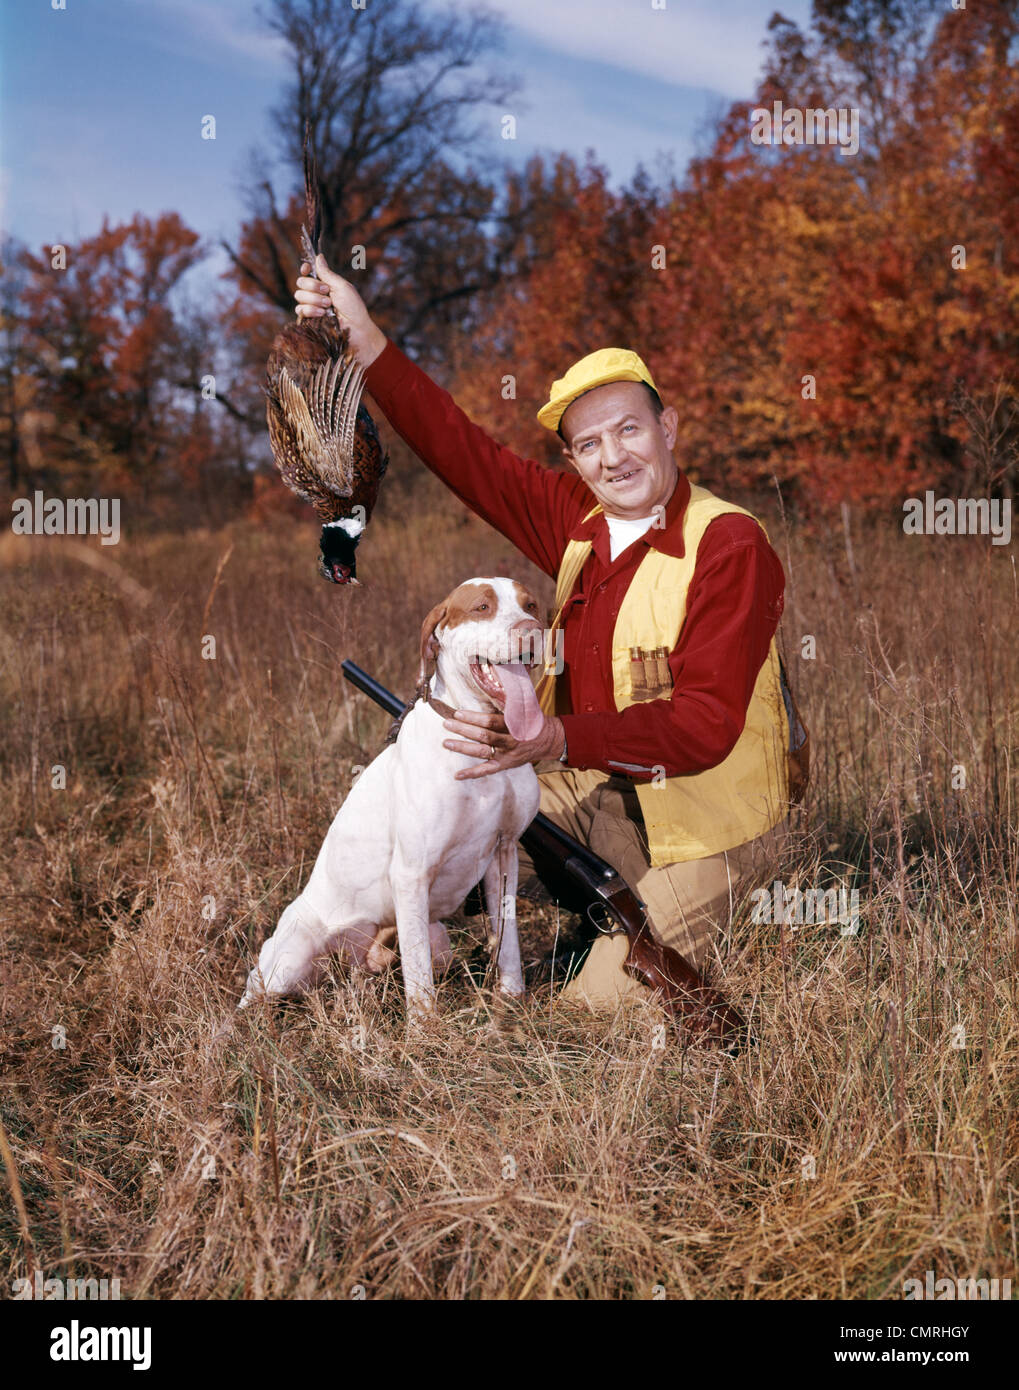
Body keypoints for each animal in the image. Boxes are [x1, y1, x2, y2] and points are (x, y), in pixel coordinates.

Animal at [239, 569, 544, 1017]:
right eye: (482, 607)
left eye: (531, 605)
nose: (531, 630)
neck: (481, 743)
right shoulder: (411, 873)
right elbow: (418, 976)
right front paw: (424, 1026)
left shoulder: (504, 854)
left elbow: (507, 945)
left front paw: (512, 999)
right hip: (289, 958)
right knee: (255, 992)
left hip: (437, 940)